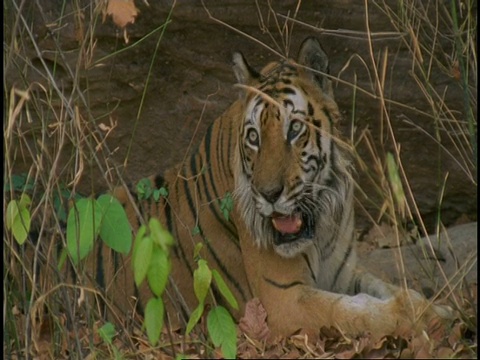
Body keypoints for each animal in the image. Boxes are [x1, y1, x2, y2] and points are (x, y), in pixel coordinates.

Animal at [74, 35, 450, 338]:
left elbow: (385, 287)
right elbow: (357, 310)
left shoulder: (342, 273)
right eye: (254, 137)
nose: (270, 194)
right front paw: (422, 318)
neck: (321, 223)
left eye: (294, 129)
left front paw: (437, 308)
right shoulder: (284, 299)